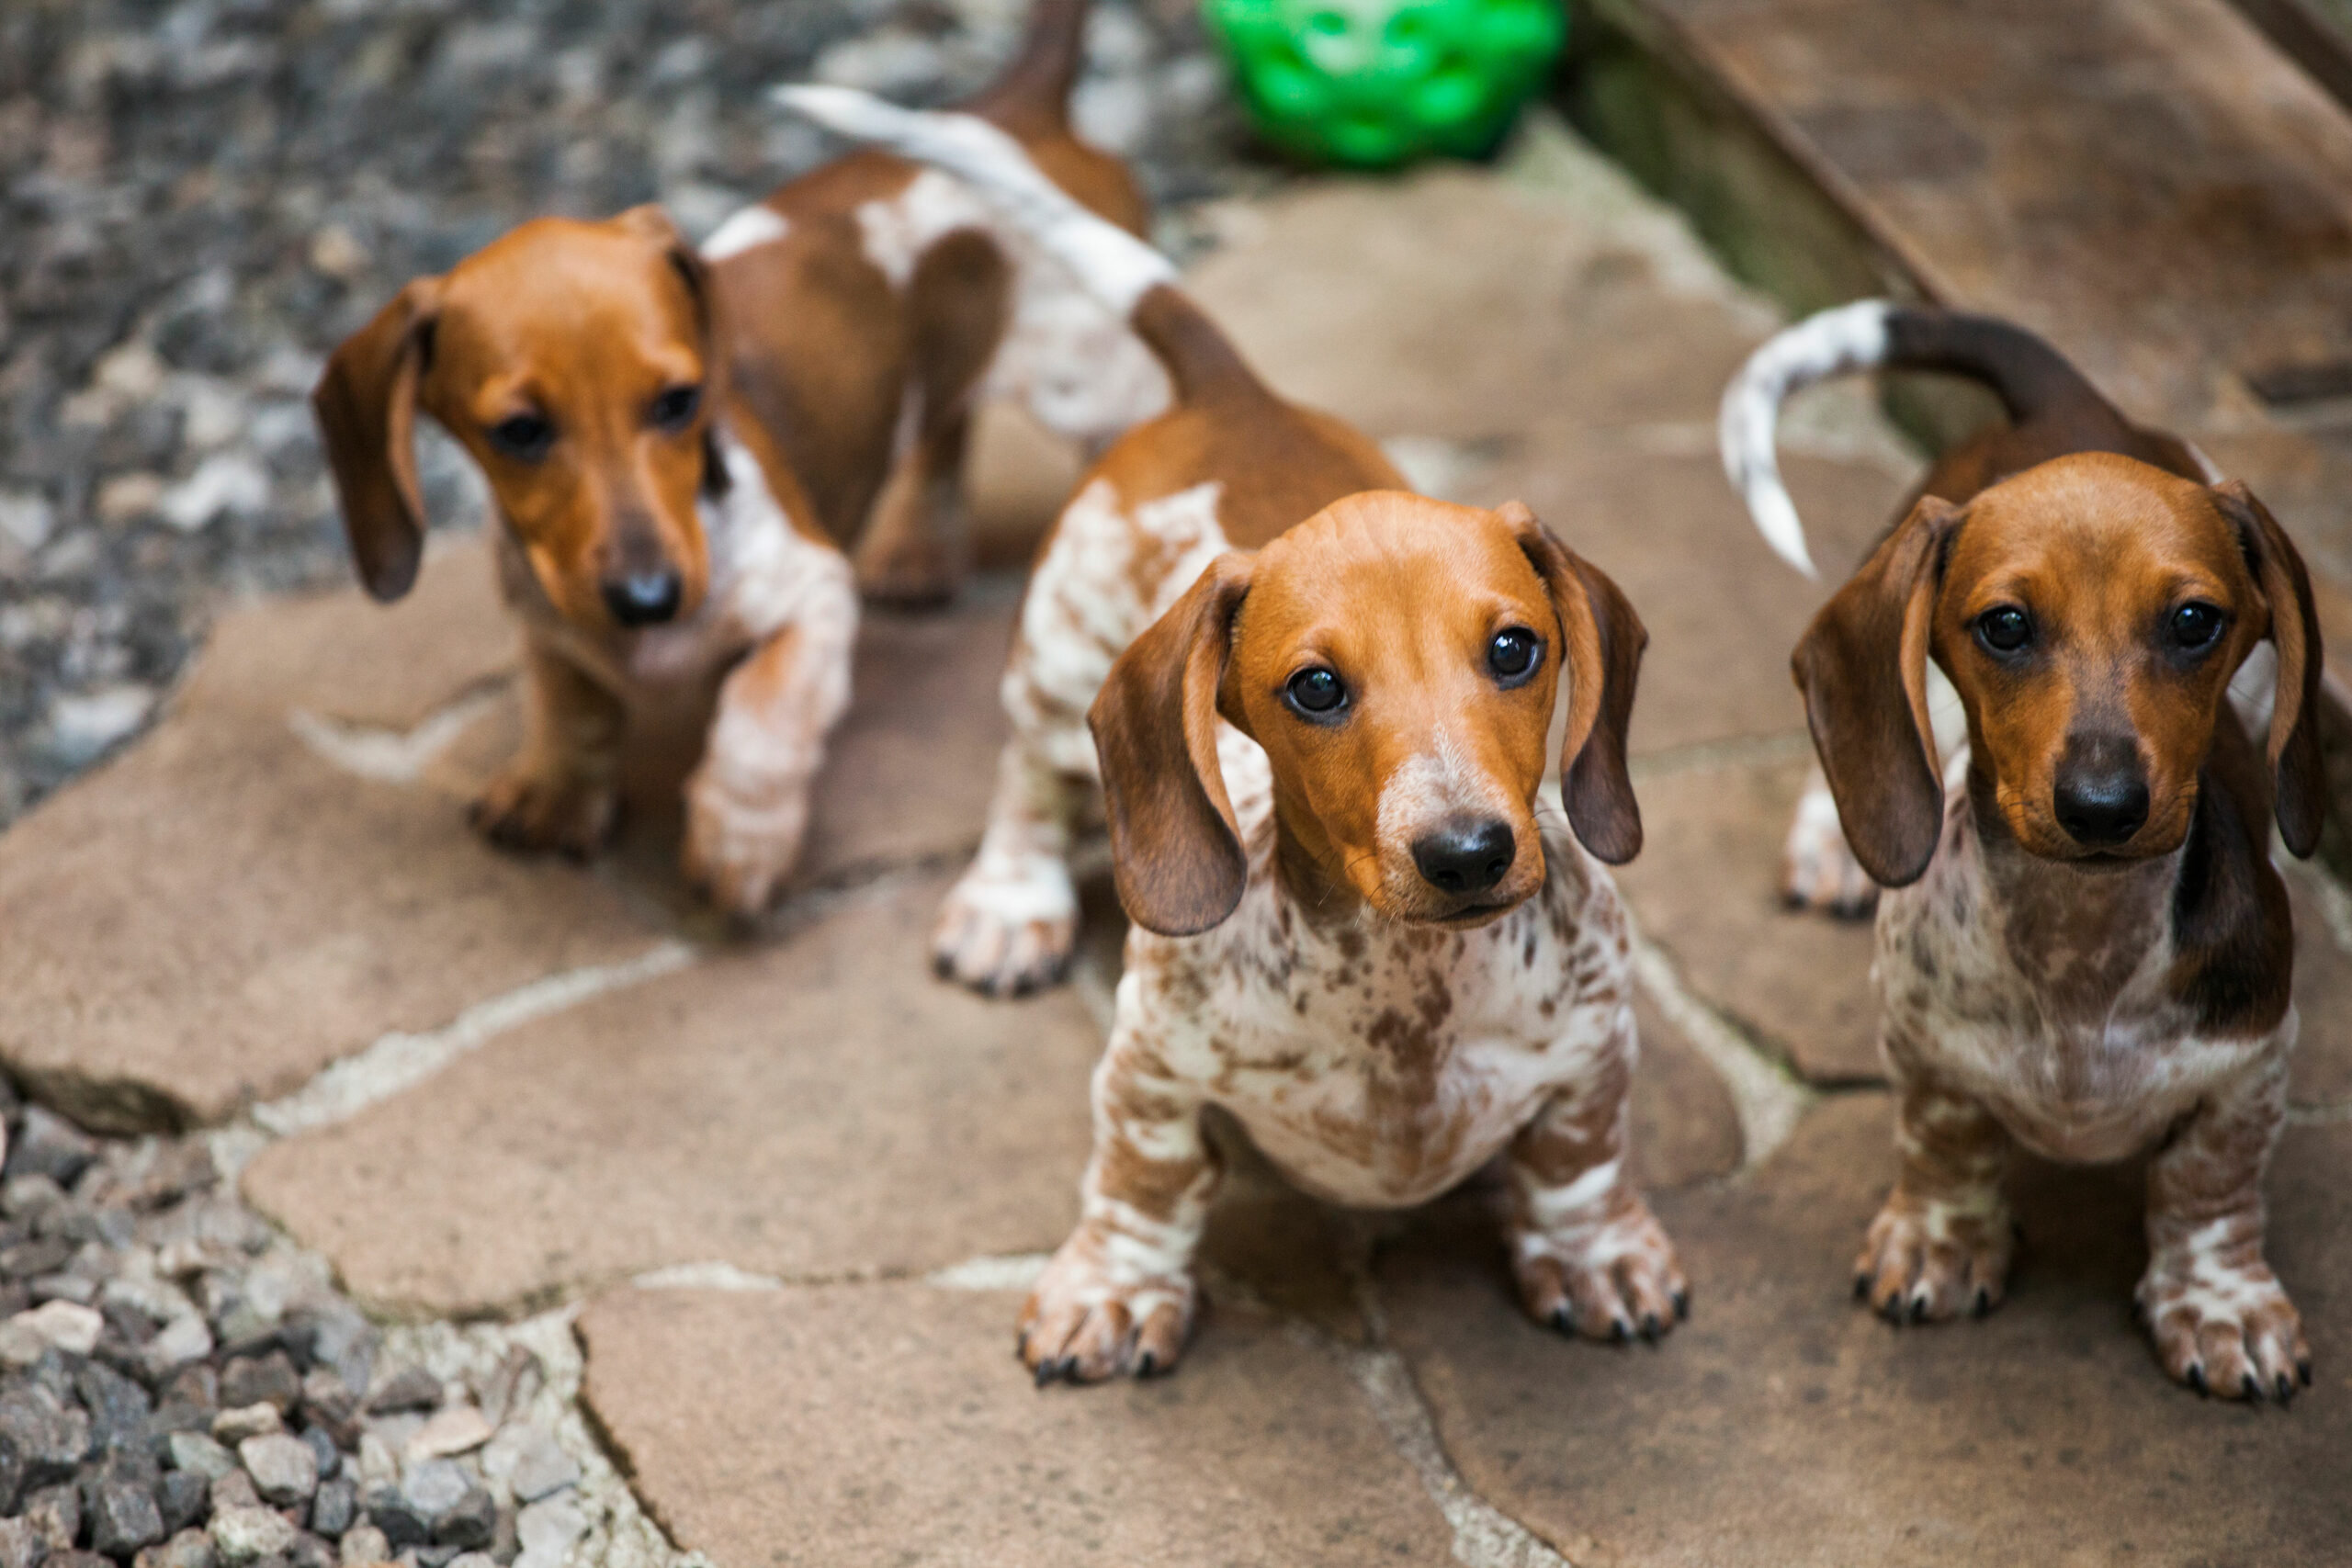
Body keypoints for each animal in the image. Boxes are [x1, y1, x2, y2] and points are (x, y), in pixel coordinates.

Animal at [310, 0, 1157, 911]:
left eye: (679, 401)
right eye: (519, 431)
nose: (647, 597)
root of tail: (1012, 110)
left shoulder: (814, 597)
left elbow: (760, 716)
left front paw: (737, 844)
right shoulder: (548, 623)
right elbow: (570, 705)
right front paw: (558, 792)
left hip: (1104, 390)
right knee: (942, 422)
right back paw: (917, 549)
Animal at [780, 85, 1683, 1382]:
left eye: (1516, 650)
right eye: (1314, 689)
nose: (1466, 854)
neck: (1404, 994)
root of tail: (1226, 394)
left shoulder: (1592, 1054)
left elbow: (1581, 1158)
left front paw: (1593, 1253)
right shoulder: (1151, 1066)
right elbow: (1144, 1182)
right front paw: (1114, 1290)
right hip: (1053, 664)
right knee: (1026, 784)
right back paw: (1009, 908)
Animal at [1721, 303, 2324, 1401]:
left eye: (2195, 621)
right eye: (2004, 625)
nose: (2102, 807)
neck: (2080, 949)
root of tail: (2068, 401)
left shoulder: (2251, 1060)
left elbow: (2210, 1183)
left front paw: (2221, 1304)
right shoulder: (1920, 1042)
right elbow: (1943, 1137)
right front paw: (1940, 1240)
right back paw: (1832, 845)